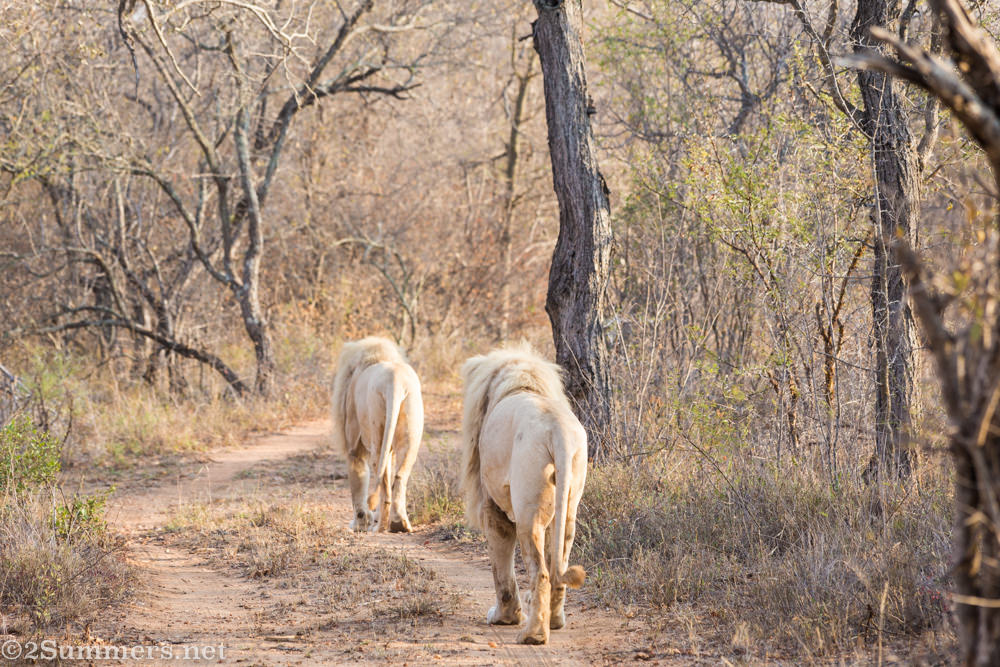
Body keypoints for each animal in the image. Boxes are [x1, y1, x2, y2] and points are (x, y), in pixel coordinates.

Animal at [331, 337, 424, 533]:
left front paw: (359, 524)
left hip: (377, 431)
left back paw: (380, 527)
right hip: (410, 425)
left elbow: (358, 485)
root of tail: (394, 381)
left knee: (384, 485)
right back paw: (399, 524)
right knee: (399, 477)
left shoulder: (354, 446)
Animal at [460, 346, 588, 645]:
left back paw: (533, 634)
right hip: (570, 500)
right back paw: (554, 622)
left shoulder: (492, 504)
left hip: (528, 506)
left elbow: (501, 565)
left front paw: (504, 617)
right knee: (558, 564)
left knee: (540, 572)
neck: (521, 383)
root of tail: (557, 428)